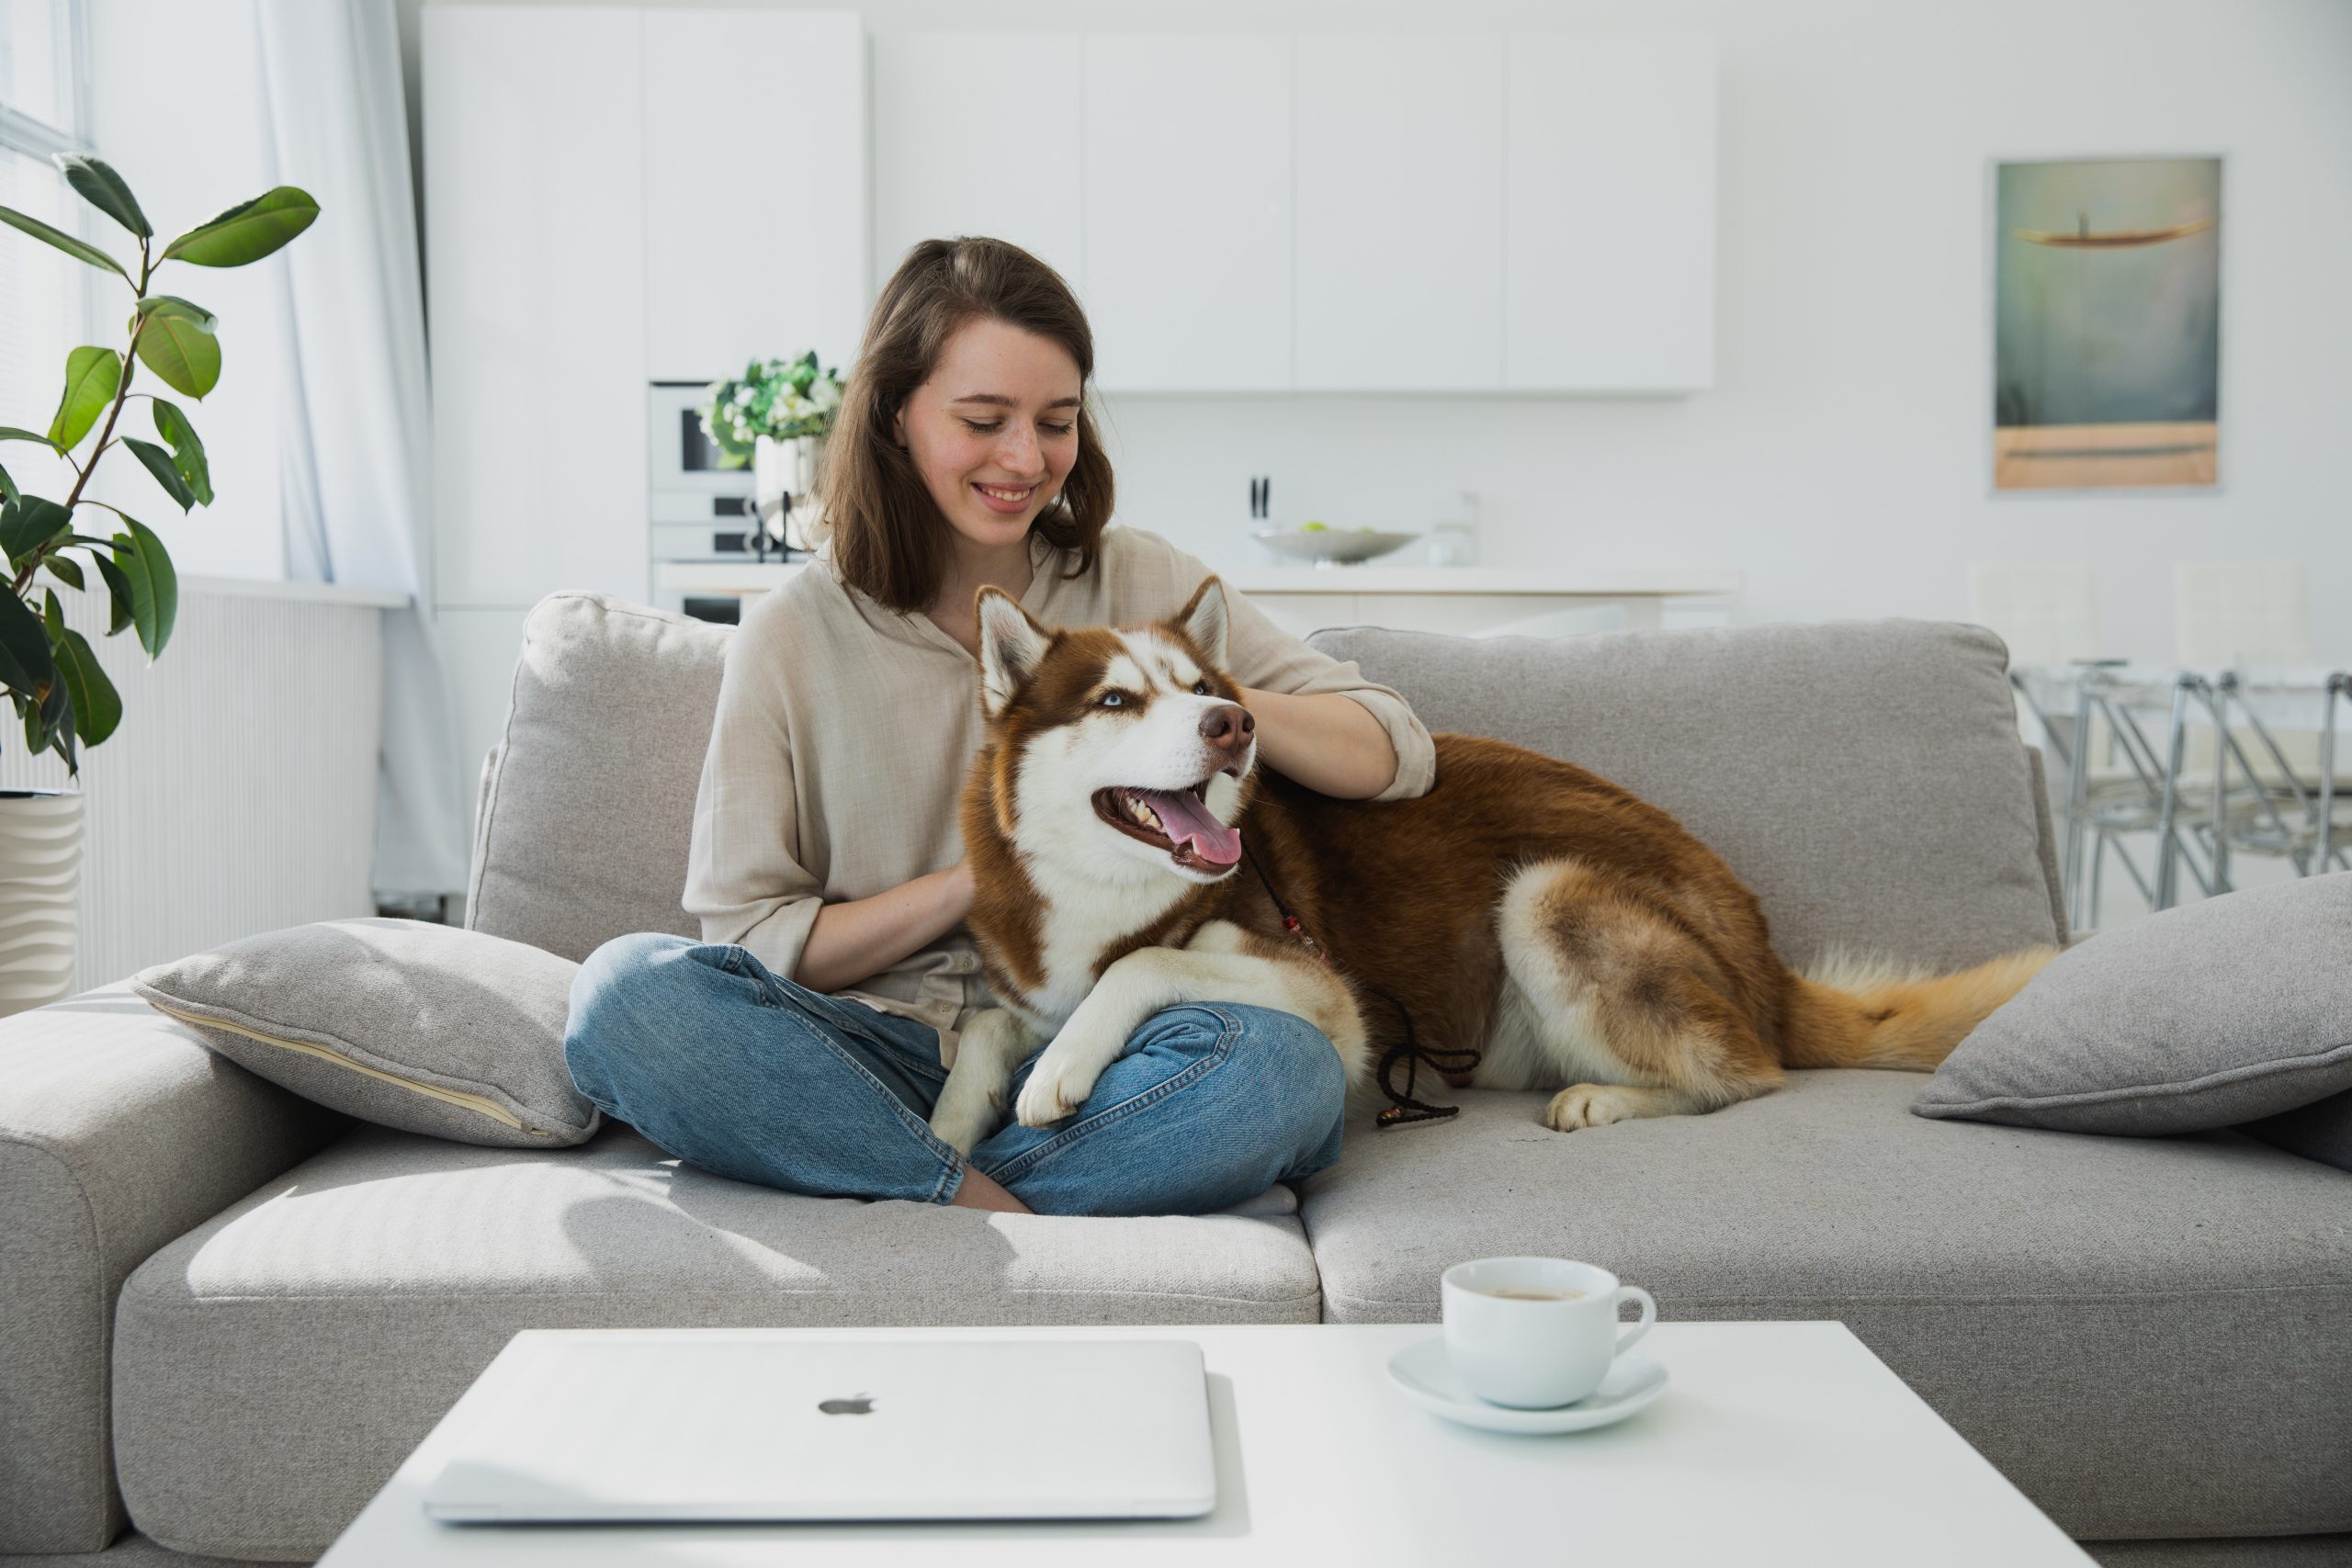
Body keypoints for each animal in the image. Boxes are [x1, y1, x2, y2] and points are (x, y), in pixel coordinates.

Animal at [917, 576, 2060, 1152]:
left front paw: (1059, 1073)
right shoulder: (1028, 981)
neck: (1103, 890)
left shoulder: (1328, 999)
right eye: (1117, 699)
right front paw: (943, 1131)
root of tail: (1767, 958)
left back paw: (1610, 1101)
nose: (1234, 723)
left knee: (1748, 1077)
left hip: (1548, 892)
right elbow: (986, 1028)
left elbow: (1140, 965)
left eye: (1200, 686)